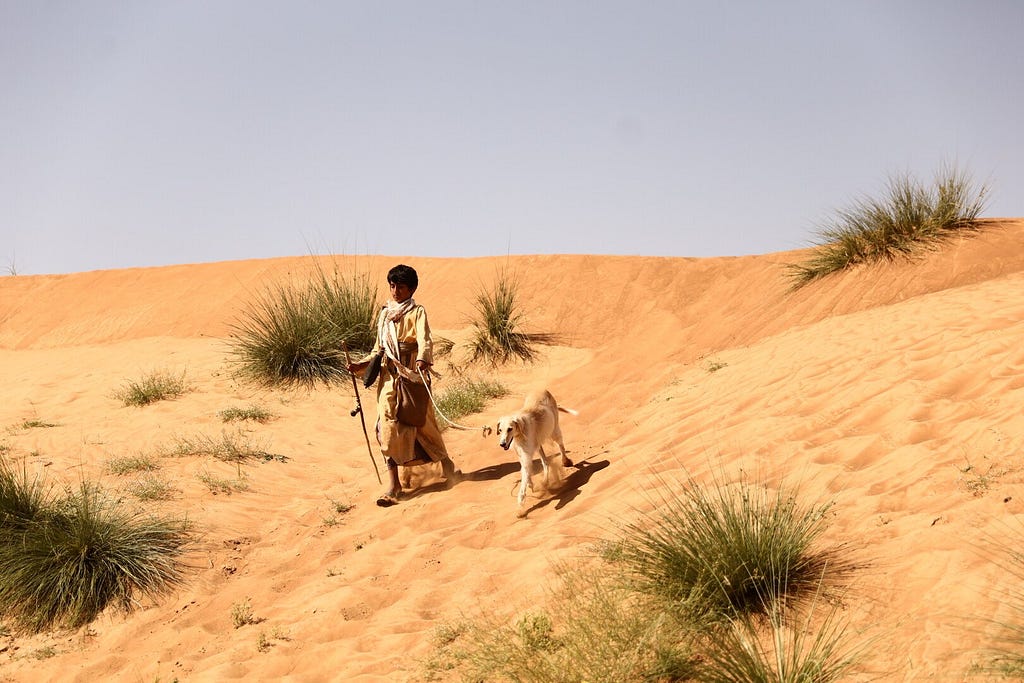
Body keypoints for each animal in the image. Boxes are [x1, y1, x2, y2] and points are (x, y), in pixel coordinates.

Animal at [499, 389, 581, 518]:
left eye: (510, 429)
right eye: (500, 430)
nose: (502, 444)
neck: (521, 431)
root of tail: (544, 390)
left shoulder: (526, 457)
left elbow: (523, 482)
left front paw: (520, 509)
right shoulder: (522, 456)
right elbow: (526, 473)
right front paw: (531, 485)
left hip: (554, 431)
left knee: (561, 446)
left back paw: (566, 462)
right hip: (539, 446)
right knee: (545, 462)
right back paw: (545, 480)